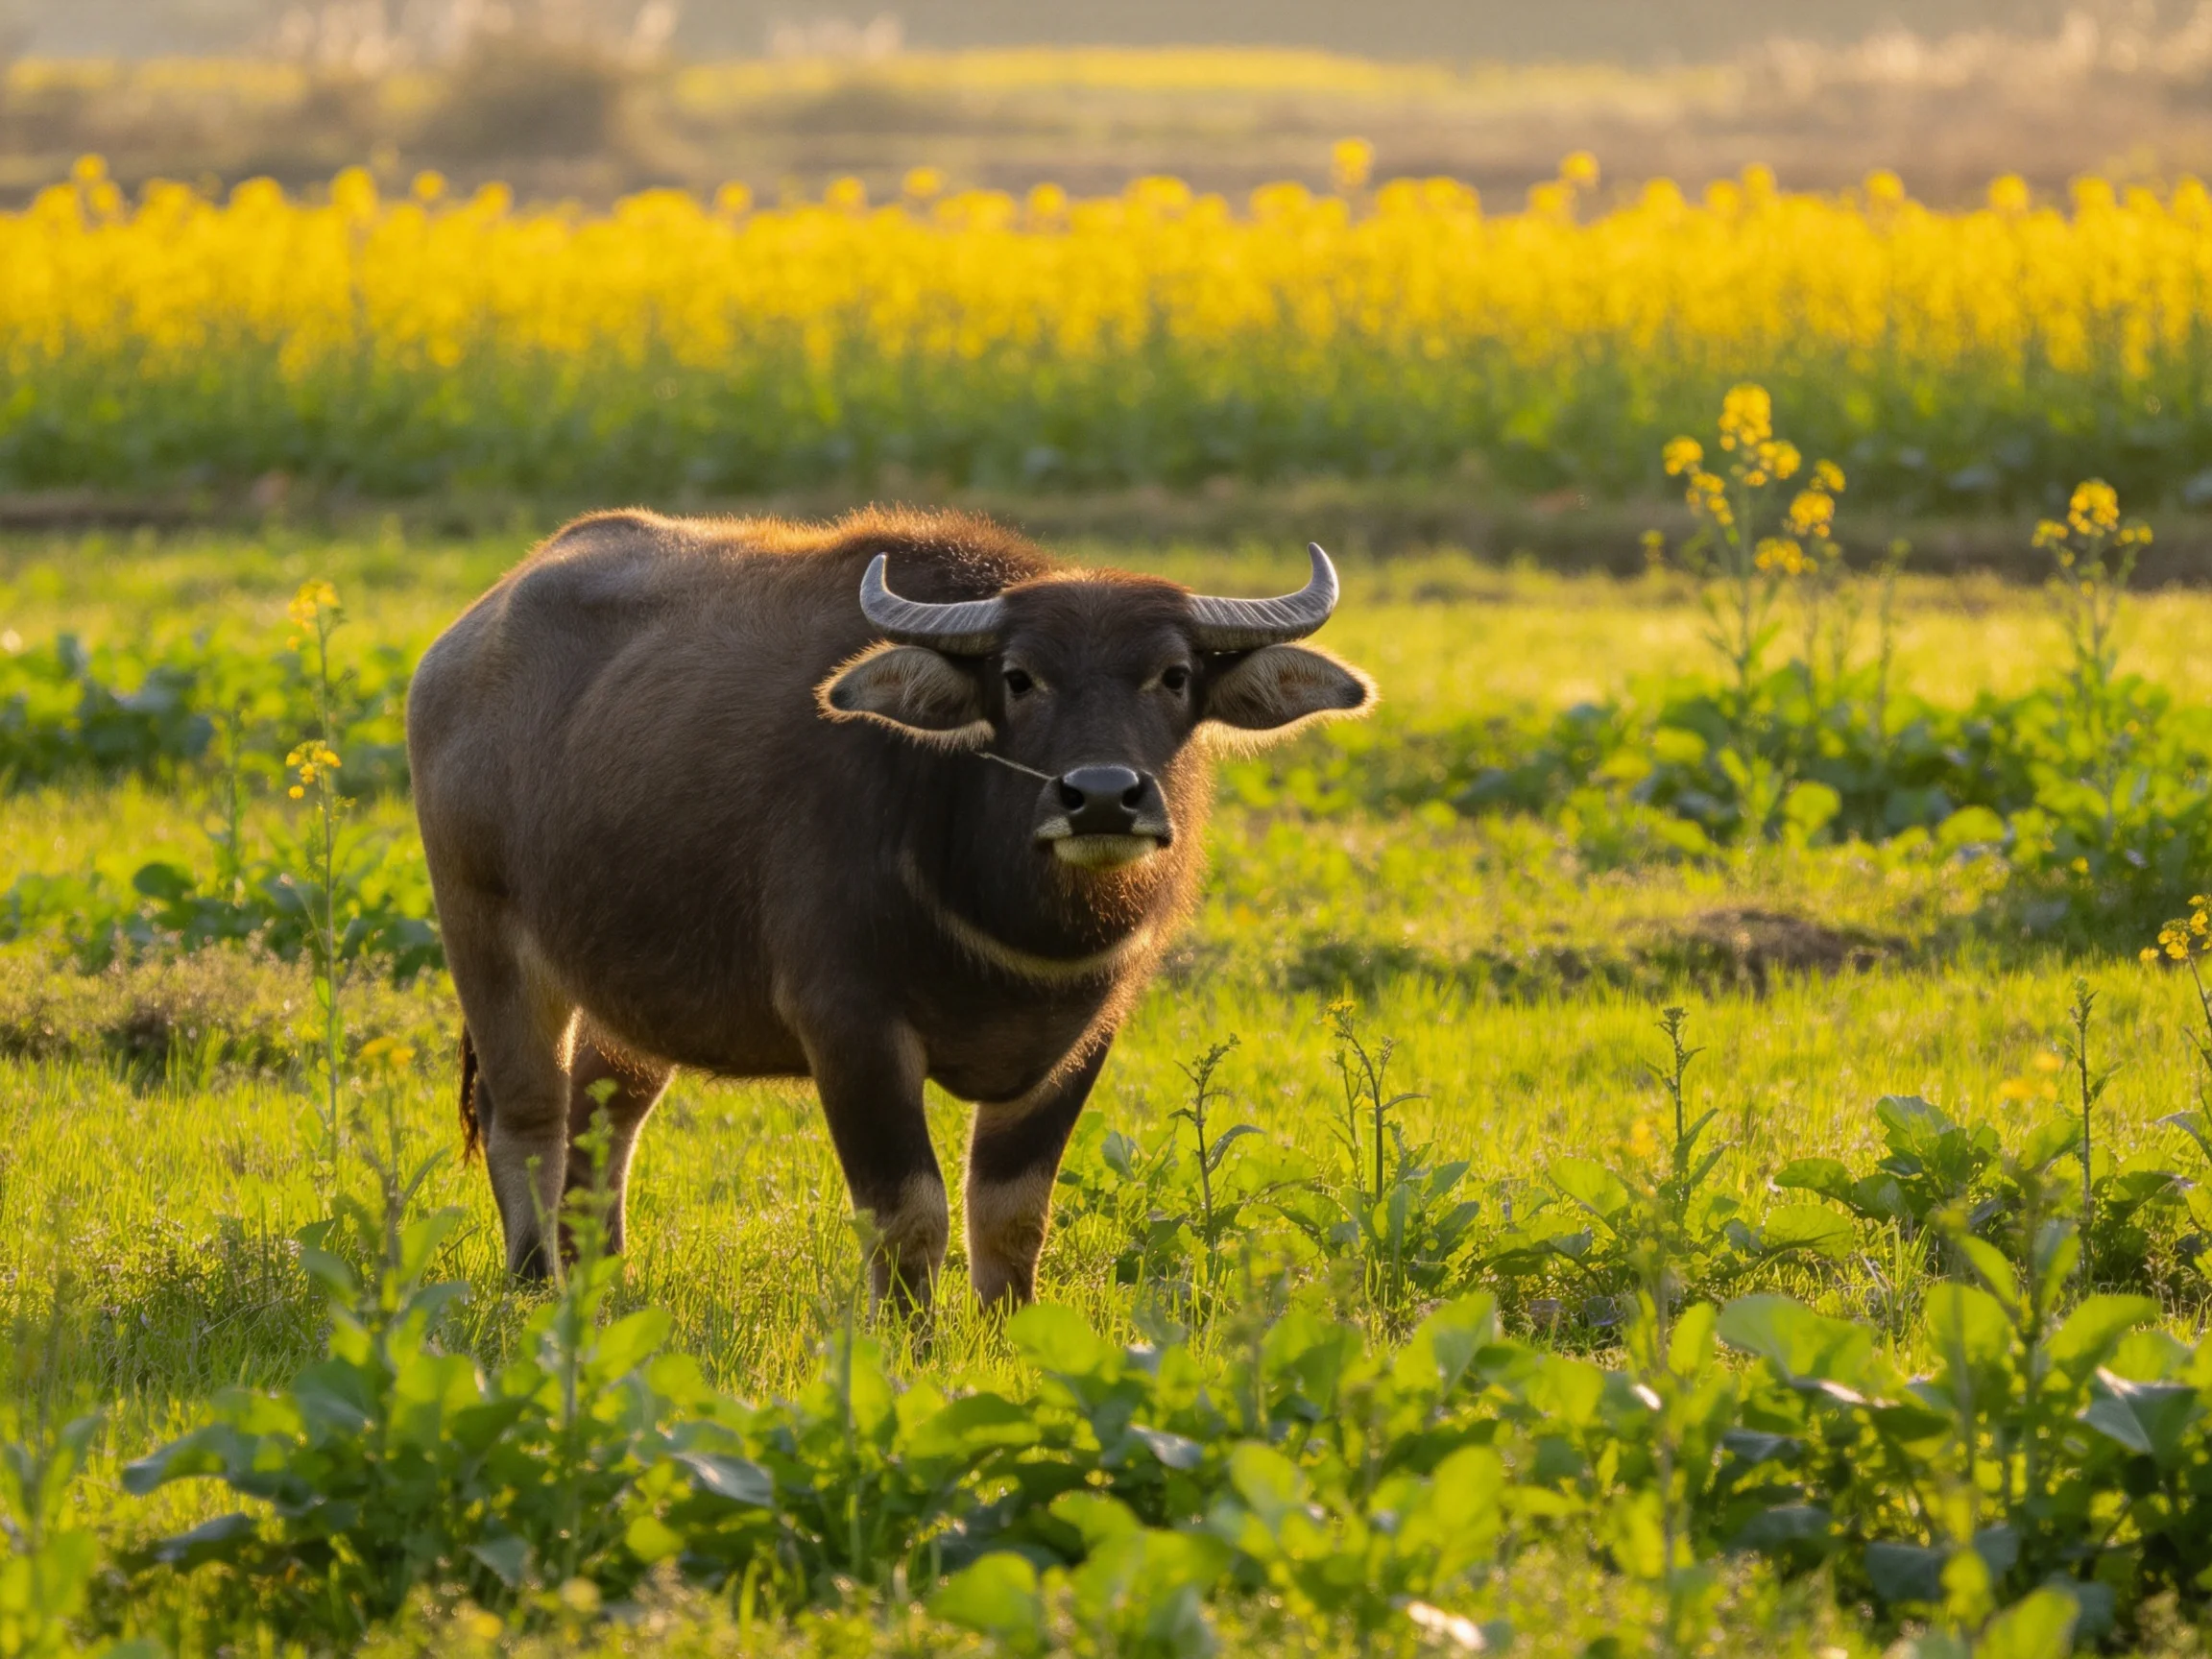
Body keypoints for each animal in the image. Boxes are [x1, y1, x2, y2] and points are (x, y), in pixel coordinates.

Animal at [406, 507, 1373, 1307]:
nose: (1101, 797)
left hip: (628, 993)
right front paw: (910, 1339)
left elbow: (1013, 1213)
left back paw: (606, 1278)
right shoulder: (850, 1027)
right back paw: (536, 1281)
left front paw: (1007, 1329)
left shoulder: (1084, 1035)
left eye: (1173, 676)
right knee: (526, 1114)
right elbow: (910, 1213)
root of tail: (459, 647)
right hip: (481, 931)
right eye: (1018, 678)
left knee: (603, 1118)